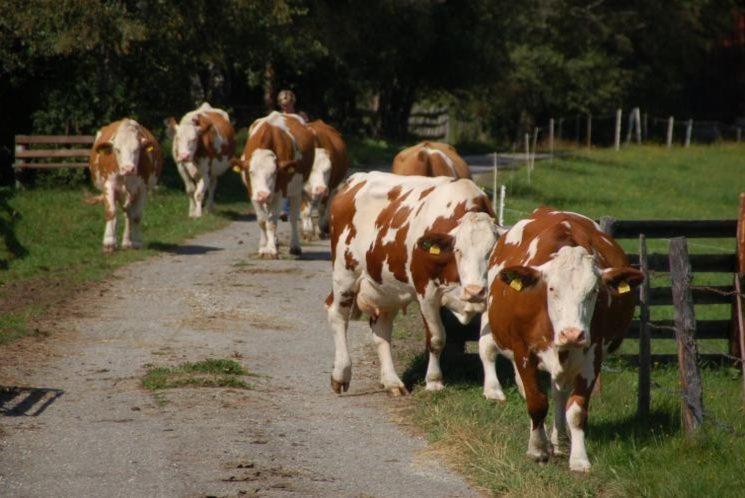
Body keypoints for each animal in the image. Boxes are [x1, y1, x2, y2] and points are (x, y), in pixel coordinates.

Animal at [87, 118, 163, 251]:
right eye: (117, 150)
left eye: (137, 150)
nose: (128, 168)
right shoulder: (109, 185)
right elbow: (111, 212)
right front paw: (109, 243)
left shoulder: (142, 189)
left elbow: (136, 216)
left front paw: (136, 242)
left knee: (128, 215)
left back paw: (127, 242)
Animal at [232, 111, 314, 258]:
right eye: (251, 172)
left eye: (274, 172)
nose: (263, 194)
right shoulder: (252, 192)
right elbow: (262, 220)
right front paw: (263, 246)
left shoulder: (278, 191)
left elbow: (272, 222)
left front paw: (270, 250)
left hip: (296, 189)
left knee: (293, 218)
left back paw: (295, 246)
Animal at [326, 171, 500, 396]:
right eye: (458, 250)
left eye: (491, 252)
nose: (474, 291)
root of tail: (355, 179)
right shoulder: (426, 291)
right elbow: (436, 339)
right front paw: (434, 381)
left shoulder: (489, 296)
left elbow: (488, 344)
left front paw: (492, 390)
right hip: (344, 274)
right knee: (338, 316)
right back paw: (341, 374)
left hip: (386, 287)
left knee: (381, 328)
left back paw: (392, 381)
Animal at [476, 208, 644, 472]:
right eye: (552, 288)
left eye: (594, 291)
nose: (572, 334)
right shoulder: (523, 352)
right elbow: (536, 402)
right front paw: (537, 449)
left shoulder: (592, 357)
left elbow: (576, 411)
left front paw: (579, 458)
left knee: (559, 395)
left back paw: (560, 440)